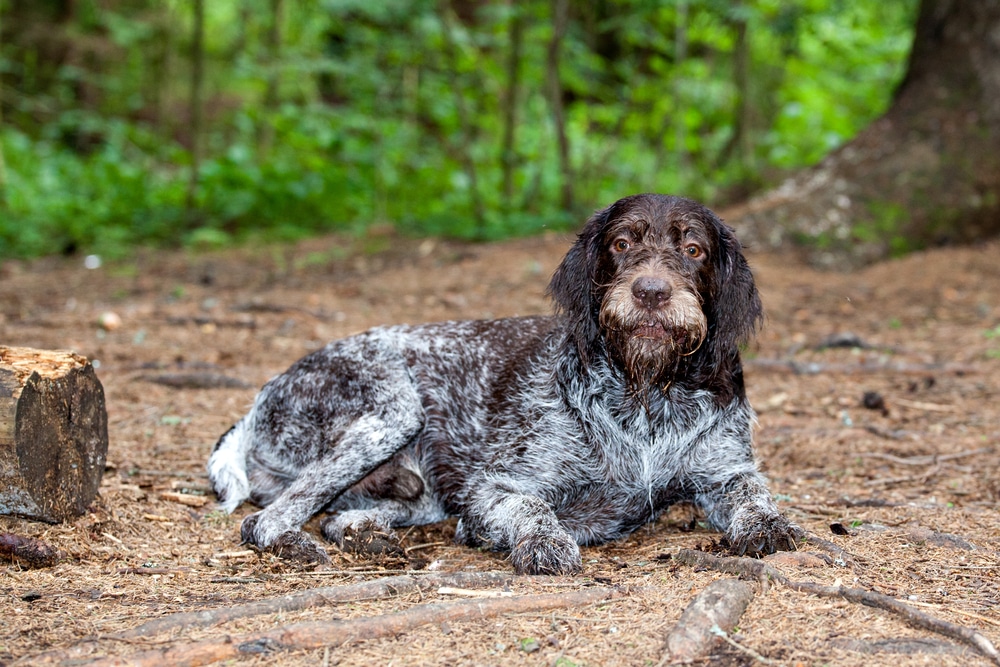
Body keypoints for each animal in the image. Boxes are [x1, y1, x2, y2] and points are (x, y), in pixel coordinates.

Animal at [209, 193, 796, 576]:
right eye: (622, 244)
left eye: (694, 250)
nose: (651, 291)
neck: (647, 394)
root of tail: (256, 404)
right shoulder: (492, 487)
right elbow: (533, 509)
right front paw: (541, 542)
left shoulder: (725, 472)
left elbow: (755, 495)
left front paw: (768, 522)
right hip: (391, 413)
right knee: (262, 521)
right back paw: (299, 543)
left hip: (420, 493)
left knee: (339, 516)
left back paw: (363, 533)